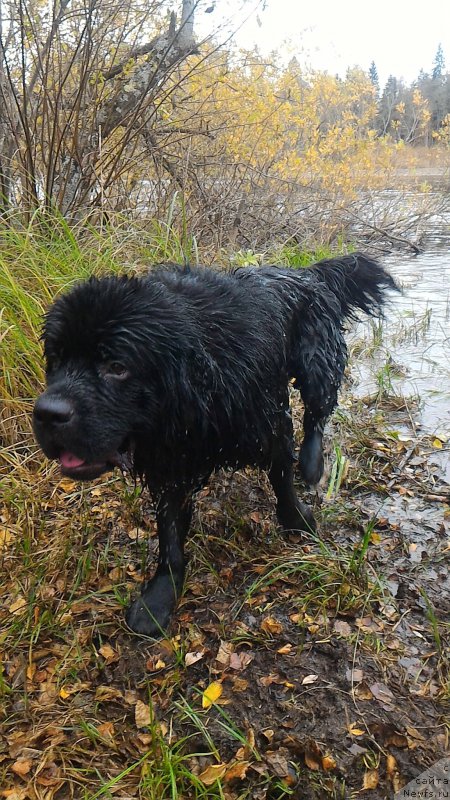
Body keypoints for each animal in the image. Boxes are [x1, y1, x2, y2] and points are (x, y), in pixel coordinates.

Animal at [33, 256, 396, 636]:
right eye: (55, 360)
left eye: (117, 367)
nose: (47, 414)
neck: (202, 382)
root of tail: (303, 272)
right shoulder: (171, 461)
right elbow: (170, 534)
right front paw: (158, 598)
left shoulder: (269, 425)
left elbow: (282, 479)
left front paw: (297, 520)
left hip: (316, 357)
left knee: (317, 411)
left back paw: (312, 463)